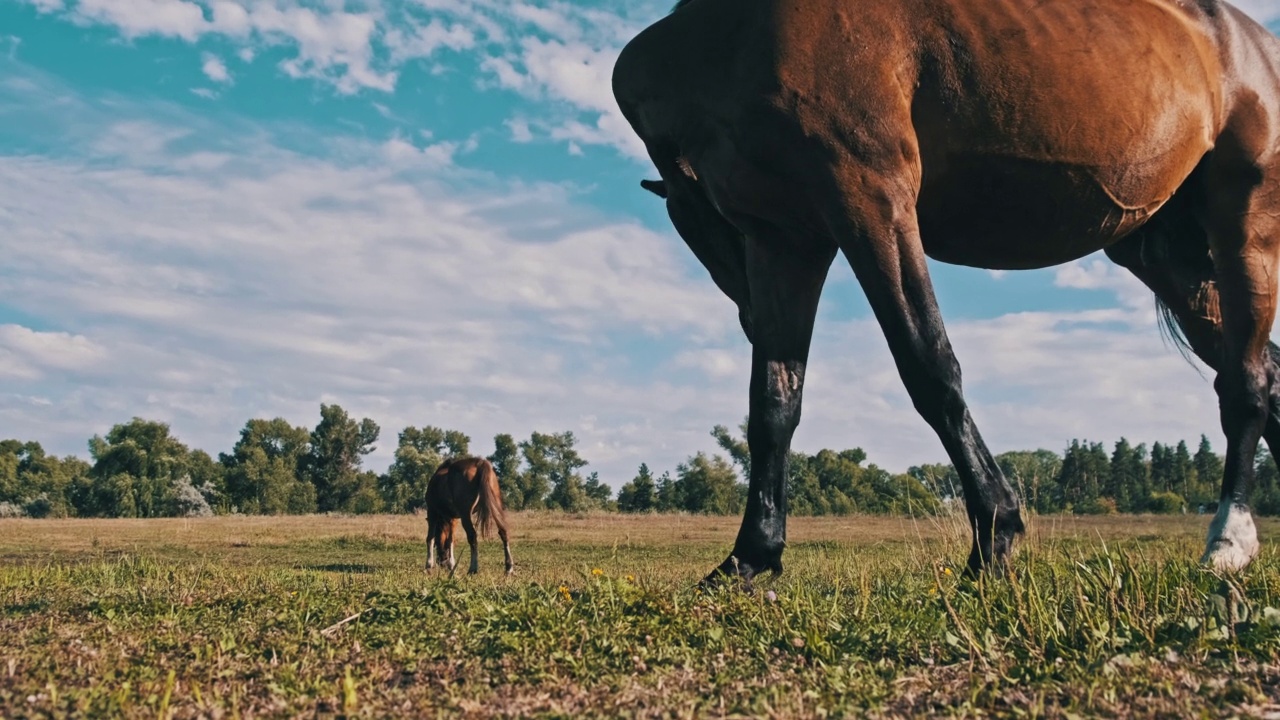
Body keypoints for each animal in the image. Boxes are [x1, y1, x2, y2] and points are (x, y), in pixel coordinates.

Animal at [611, 1, 1280, 584]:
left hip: (1244, 229)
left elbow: (930, 369)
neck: (740, 34)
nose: (746, 316)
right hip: (1169, 260)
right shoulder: (785, 241)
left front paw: (994, 539)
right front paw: (749, 559)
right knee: (1264, 376)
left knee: (1247, 383)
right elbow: (775, 404)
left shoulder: (870, 201)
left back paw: (1227, 540)